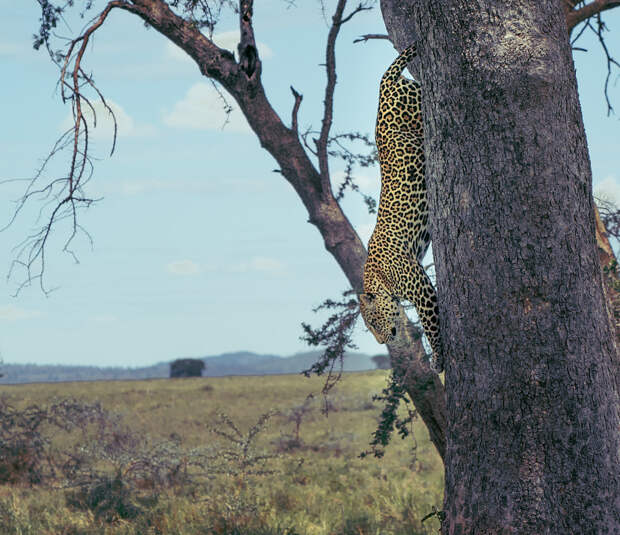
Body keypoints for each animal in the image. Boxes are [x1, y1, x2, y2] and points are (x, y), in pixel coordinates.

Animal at [360, 45, 444, 372]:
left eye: (373, 322)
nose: (382, 342)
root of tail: (383, 87)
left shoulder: (421, 289)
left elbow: (432, 323)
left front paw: (439, 360)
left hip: (415, 110)